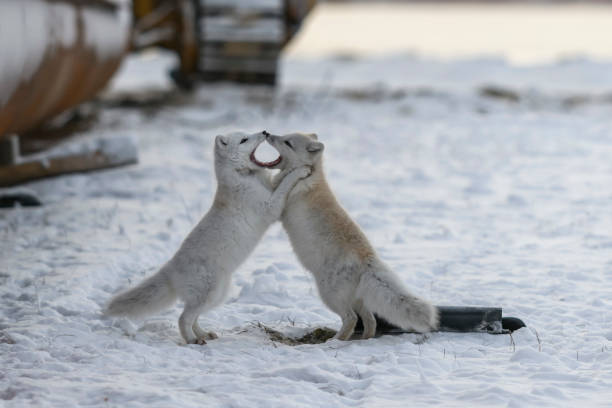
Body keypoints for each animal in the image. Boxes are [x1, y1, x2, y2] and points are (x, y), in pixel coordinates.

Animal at [104, 131, 310, 344]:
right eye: (244, 140)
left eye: (246, 135)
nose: (264, 132)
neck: (247, 176)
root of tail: (171, 268)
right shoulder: (270, 208)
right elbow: (285, 185)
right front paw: (301, 171)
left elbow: (280, 180)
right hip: (208, 293)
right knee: (183, 318)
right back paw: (192, 340)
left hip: (217, 295)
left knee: (194, 318)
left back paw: (204, 334)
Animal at [266, 132, 438, 340]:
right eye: (283, 136)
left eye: (287, 142)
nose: (267, 133)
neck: (314, 176)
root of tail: (367, 260)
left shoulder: (280, 203)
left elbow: (281, 186)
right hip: (355, 299)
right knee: (370, 320)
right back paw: (364, 339)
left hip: (329, 295)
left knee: (351, 319)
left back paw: (334, 341)